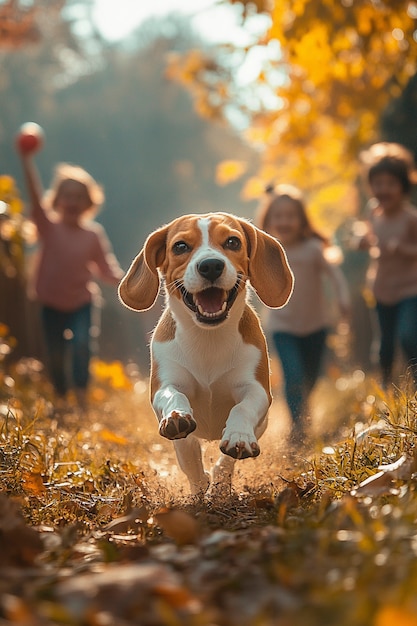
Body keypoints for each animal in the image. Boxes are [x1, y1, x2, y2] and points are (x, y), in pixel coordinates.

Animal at [118, 212, 292, 494]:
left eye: (232, 242)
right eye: (180, 246)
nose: (210, 265)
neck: (208, 338)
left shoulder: (257, 389)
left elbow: (243, 408)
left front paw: (239, 436)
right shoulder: (165, 384)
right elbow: (173, 396)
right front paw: (177, 415)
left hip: (261, 425)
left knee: (223, 464)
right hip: (183, 442)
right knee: (190, 459)